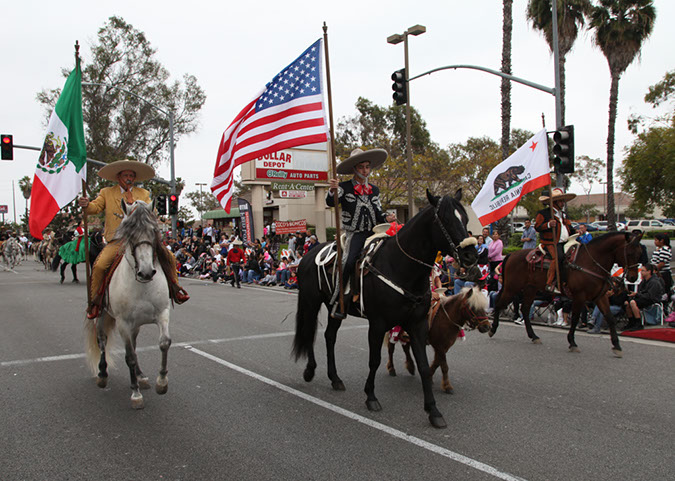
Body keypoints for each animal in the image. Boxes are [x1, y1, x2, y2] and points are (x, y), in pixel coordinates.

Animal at [84, 199, 172, 408]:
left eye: (154, 230)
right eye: (130, 233)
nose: (146, 272)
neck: (143, 286)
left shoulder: (162, 313)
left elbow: (164, 343)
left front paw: (161, 382)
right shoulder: (123, 323)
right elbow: (129, 356)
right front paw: (136, 394)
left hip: (136, 325)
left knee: (133, 344)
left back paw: (141, 376)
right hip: (102, 315)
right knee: (102, 341)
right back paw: (102, 374)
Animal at [294, 189, 478, 426]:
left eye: (465, 218)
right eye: (445, 219)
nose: (471, 256)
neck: (400, 266)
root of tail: (309, 253)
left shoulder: (417, 325)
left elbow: (424, 366)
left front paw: (433, 411)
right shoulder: (378, 323)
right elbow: (375, 360)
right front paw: (371, 397)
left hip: (335, 309)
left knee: (329, 337)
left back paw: (335, 378)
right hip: (311, 302)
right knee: (310, 333)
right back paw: (309, 371)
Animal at [492, 232, 644, 356]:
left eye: (640, 253)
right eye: (630, 253)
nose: (633, 277)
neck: (591, 262)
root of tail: (511, 254)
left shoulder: (600, 296)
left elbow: (610, 317)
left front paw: (617, 345)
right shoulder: (580, 296)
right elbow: (575, 318)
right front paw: (572, 342)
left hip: (530, 288)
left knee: (524, 308)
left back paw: (533, 336)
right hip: (512, 287)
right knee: (499, 304)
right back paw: (493, 329)